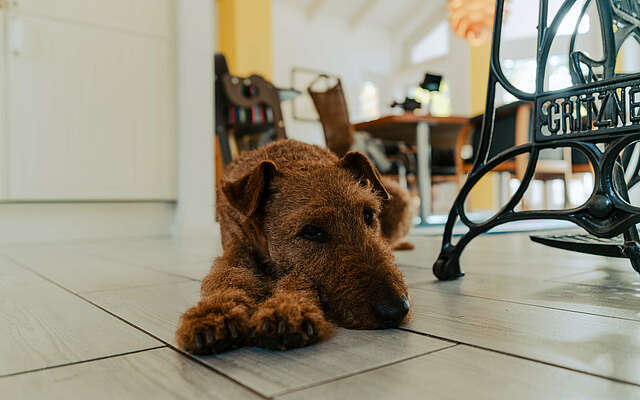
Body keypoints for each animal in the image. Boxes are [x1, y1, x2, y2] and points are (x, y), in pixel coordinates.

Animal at [178, 140, 412, 354]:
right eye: (311, 230)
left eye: (368, 215)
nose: (396, 309)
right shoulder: (235, 250)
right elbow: (226, 276)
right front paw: (212, 316)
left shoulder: (298, 269)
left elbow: (297, 279)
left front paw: (286, 310)